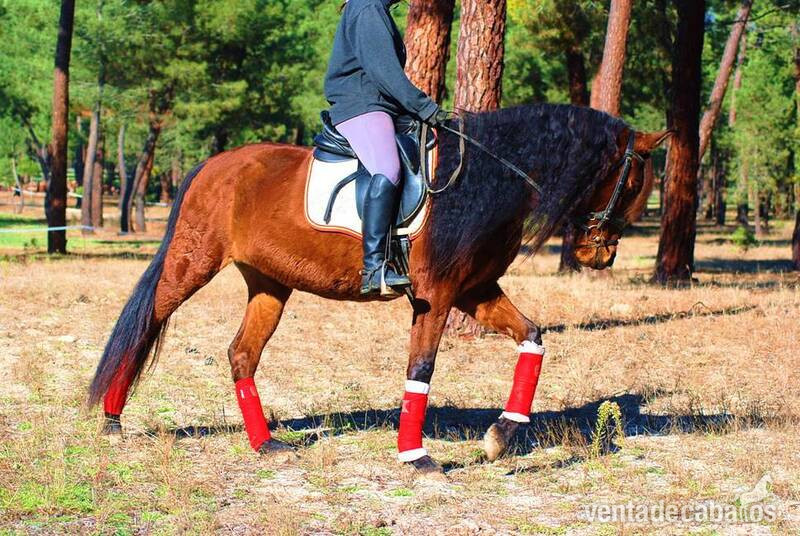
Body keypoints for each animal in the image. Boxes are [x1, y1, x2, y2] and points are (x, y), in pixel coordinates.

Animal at [88, 103, 670, 476]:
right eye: (633, 182)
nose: (601, 255)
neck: (485, 177)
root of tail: (213, 164)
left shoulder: (476, 289)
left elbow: (533, 336)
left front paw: (501, 437)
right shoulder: (438, 294)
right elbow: (421, 369)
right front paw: (416, 457)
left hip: (270, 284)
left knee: (241, 354)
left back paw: (266, 444)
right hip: (193, 265)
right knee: (146, 323)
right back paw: (113, 418)